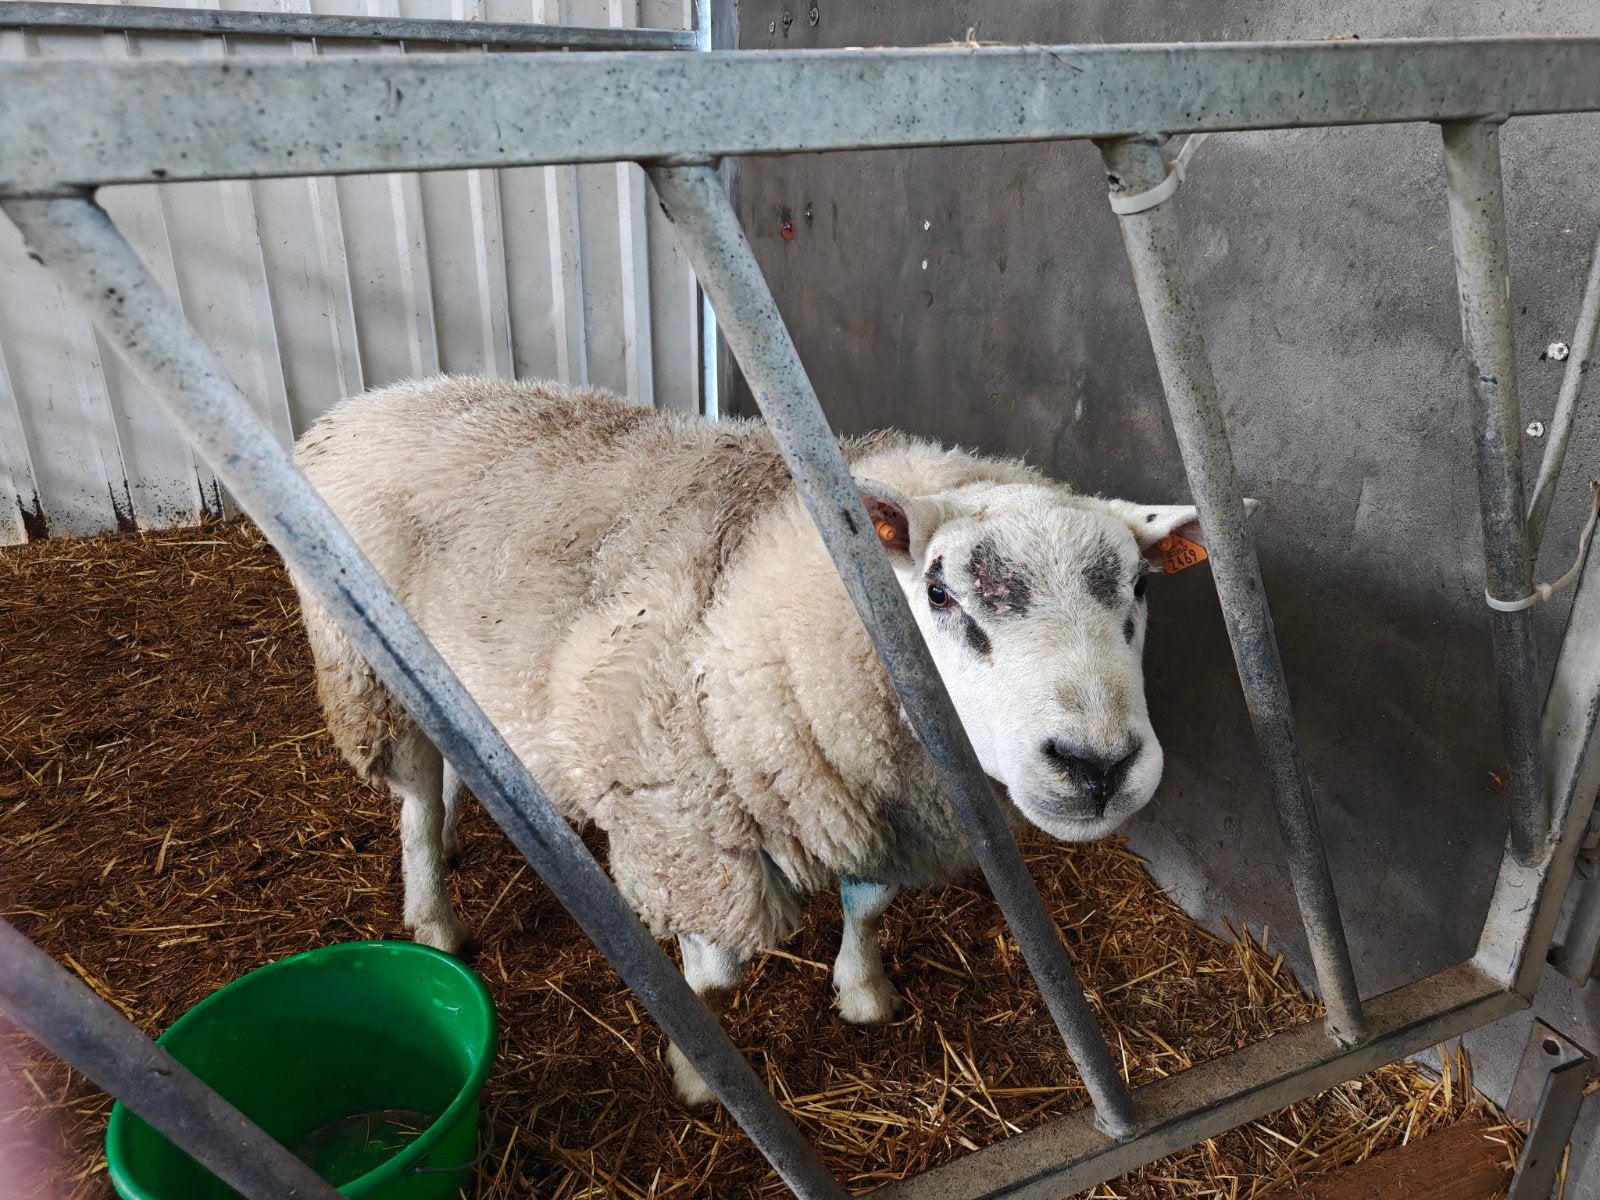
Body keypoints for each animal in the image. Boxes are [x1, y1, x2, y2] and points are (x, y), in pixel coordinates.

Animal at [290, 375, 1220, 1105]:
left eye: (1139, 587)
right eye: (941, 594)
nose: (1097, 765)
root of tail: (367, 399)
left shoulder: (874, 802)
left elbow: (867, 903)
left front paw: (862, 992)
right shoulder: (685, 829)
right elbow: (715, 973)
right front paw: (701, 1076)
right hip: (362, 665)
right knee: (412, 797)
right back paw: (434, 916)